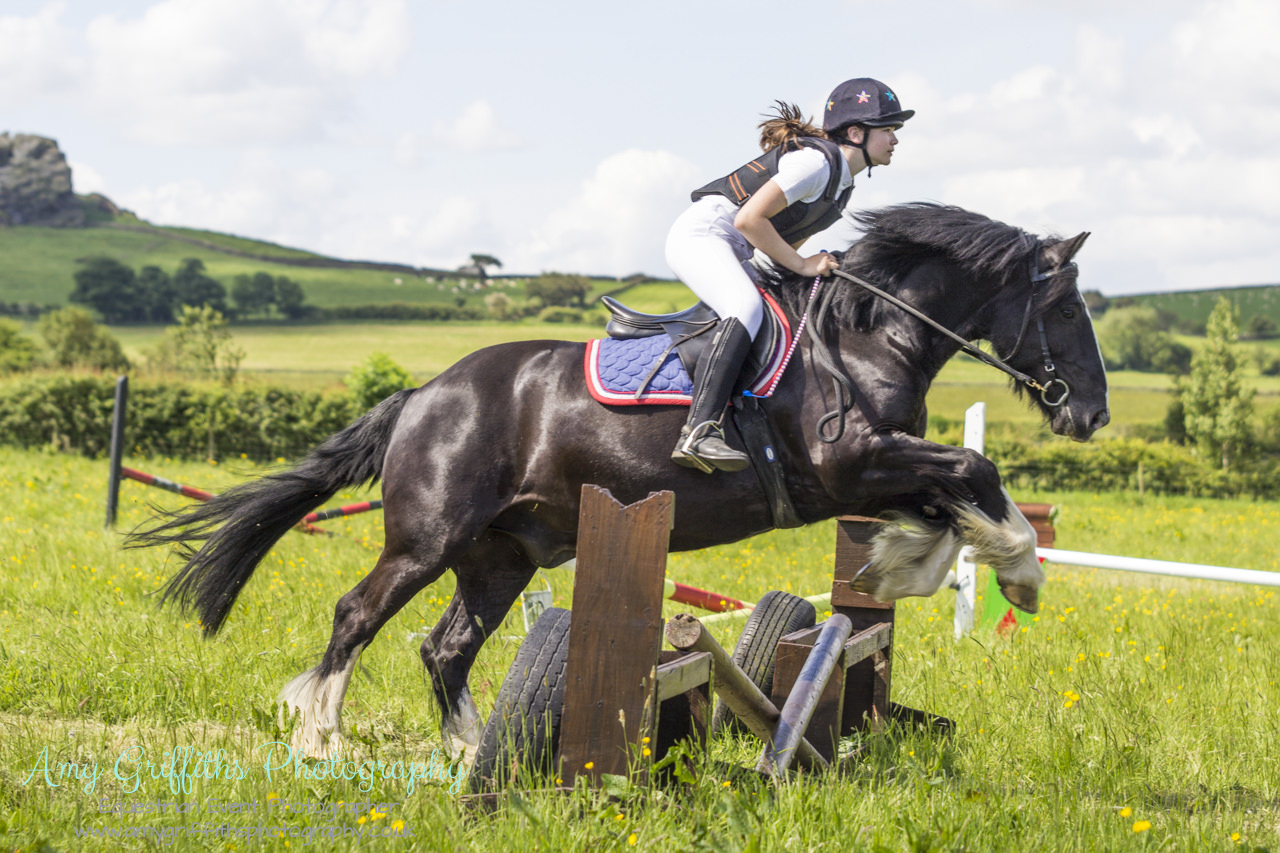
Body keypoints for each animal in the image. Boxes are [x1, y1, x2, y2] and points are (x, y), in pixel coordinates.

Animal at [132, 201, 1111, 758]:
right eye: (1066, 307)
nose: (1093, 414)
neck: (868, 335)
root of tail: (422, 393)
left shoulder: (868, 477)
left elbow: (954, 500)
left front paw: (912, 565)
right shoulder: (849, 464)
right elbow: (976, 469)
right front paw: (1019, 574)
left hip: (504, 553)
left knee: (447, 646)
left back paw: (475, 749)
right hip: (428, 536)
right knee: (357, 613)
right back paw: (320, 734)